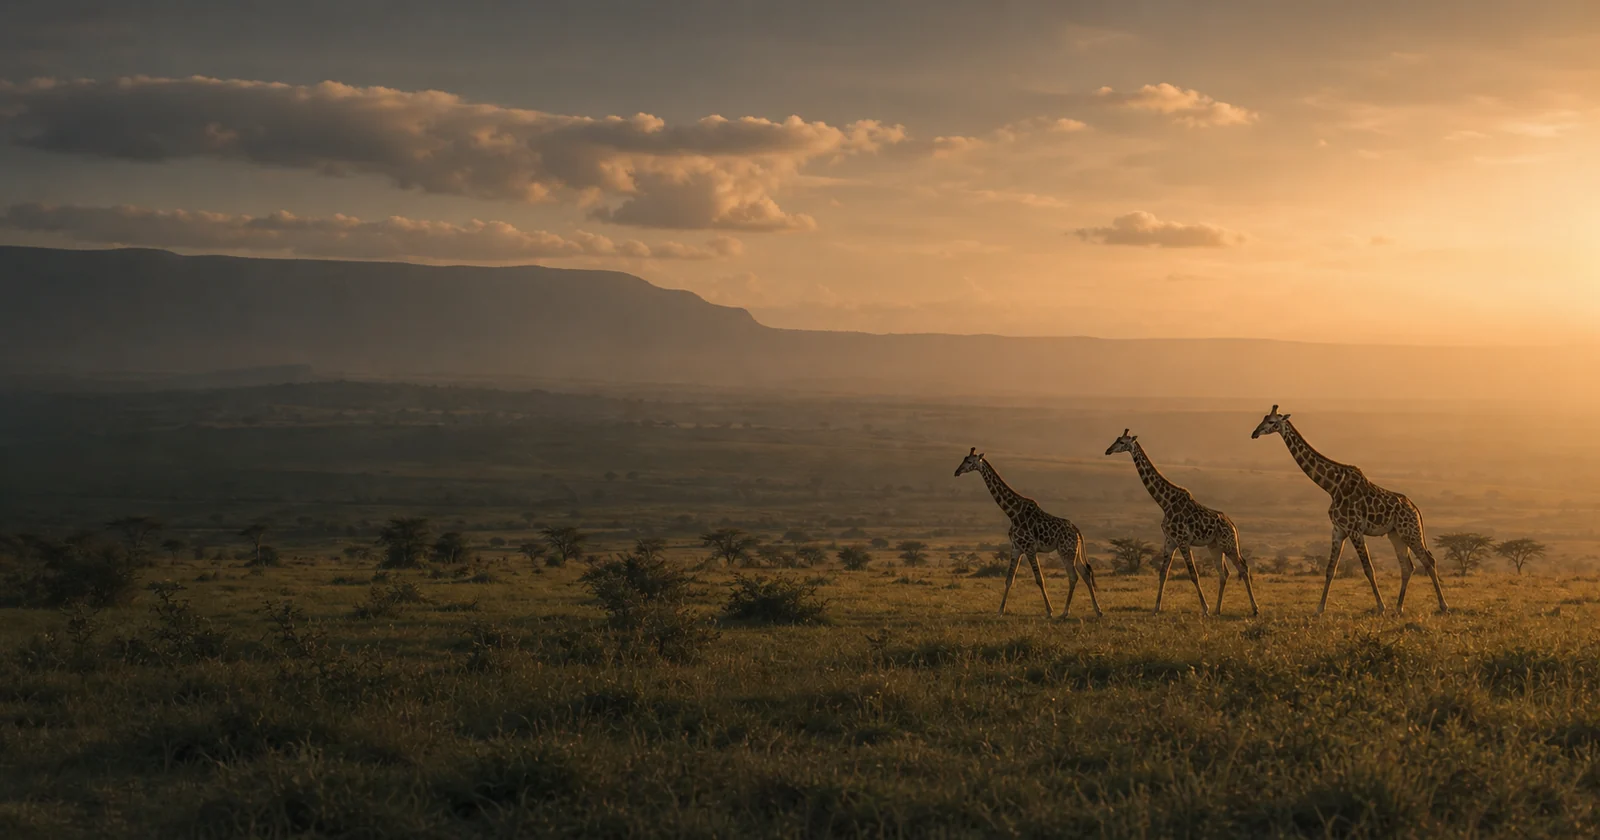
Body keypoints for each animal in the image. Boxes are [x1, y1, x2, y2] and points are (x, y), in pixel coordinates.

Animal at [954, 448, 1103, 618]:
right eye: (963, 458)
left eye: (969, 461)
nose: (957, 472)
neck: (1012, 512)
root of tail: (1078, 532)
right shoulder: (1016, 548)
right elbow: (1009, 579)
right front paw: (1000, 611)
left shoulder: (1030, 548)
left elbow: (1039, 579)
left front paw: (1049, 611)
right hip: (1075, 552)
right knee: (1085, 573)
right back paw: (1098, 610)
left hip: (1065, 551)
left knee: (1073, 577)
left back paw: (1065, 612)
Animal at [1106, 430, 1260, 616]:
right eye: (1116, 439)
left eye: (1122, 442)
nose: (1108, 450)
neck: (1165, 502)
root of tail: (1233, 526)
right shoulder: (1170, 541)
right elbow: (1163, 574)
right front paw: (1155, 609)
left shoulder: (1183, 541)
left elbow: (1193, 574)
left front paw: (1205, 608)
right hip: (1215, 546)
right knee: (1224, 573)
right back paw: (1218, 610)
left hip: (1229, 545)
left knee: (1243, 568)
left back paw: (1254, 609)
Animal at [1251, 405, 1449, 615]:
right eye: (1264, 418)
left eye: (1272, 422)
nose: (1254, 433)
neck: (1332, 486)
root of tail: (1416, 509)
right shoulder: (1338, 530)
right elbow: (1330, 569)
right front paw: (1319, 609)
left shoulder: (1354, 529)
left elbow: (1368, 568)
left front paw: (1381, 607)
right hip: (1395, 534)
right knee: (1407, 566)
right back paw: (1399, 608)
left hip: (1409, 531)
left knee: (1428, 560)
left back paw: (1443, 606)